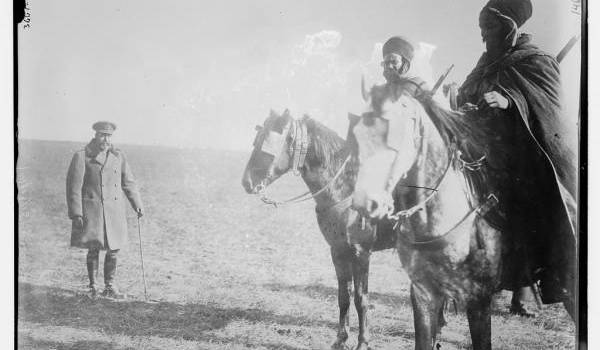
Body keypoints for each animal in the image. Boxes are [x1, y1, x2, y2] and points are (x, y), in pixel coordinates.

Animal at [241, 109, 400, 350]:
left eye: (266, 144)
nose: (246, 182)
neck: (347, 187)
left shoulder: (361, 253)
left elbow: (361, 299)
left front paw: (363, 342)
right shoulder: (338, 251)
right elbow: (344, 296)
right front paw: (340, 339)